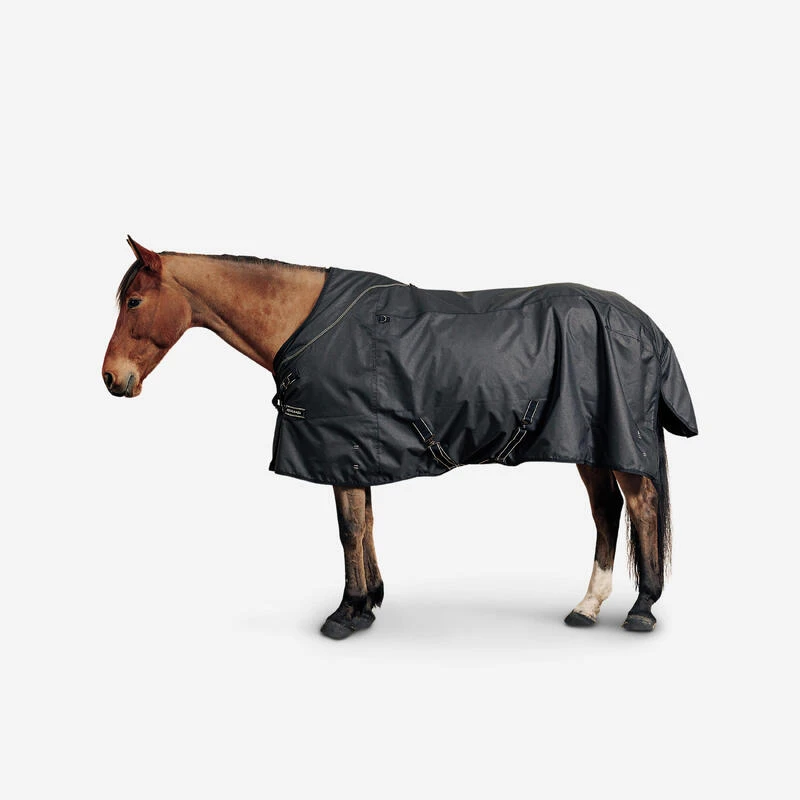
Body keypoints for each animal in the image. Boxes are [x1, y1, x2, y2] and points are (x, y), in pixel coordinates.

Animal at [103, 237, 697, 639]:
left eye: (133, 302)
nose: (112, 379)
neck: (306, 321)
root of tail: (644, 324)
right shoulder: (355, 453)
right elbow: (364, 522)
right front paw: (369, 603)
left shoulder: (337, 448)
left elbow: (348, 529)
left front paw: (345, 612)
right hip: (587, 443)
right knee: (606, 509)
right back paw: (587, 606)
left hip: (616, 444)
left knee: (640, 505)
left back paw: (641, 608)